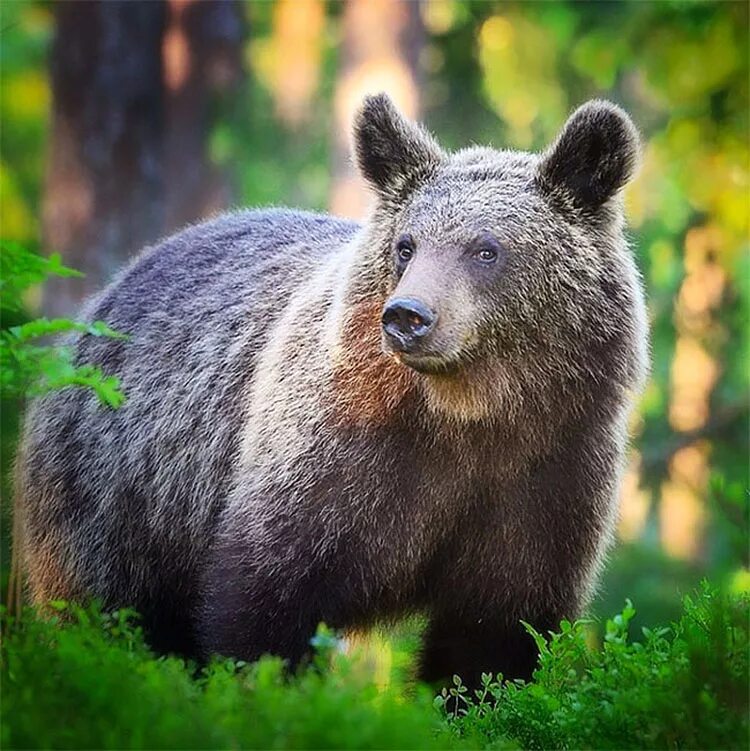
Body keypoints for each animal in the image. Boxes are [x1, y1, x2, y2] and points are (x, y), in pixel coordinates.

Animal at [19, 94, 652, 688]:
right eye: (406, 245)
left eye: (486, 249)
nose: (408, 316)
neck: (470, 411)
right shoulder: (335, 455)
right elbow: (266, 600)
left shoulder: (548, 471)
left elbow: (493, 638)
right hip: (118, 488)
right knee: (104, 607)